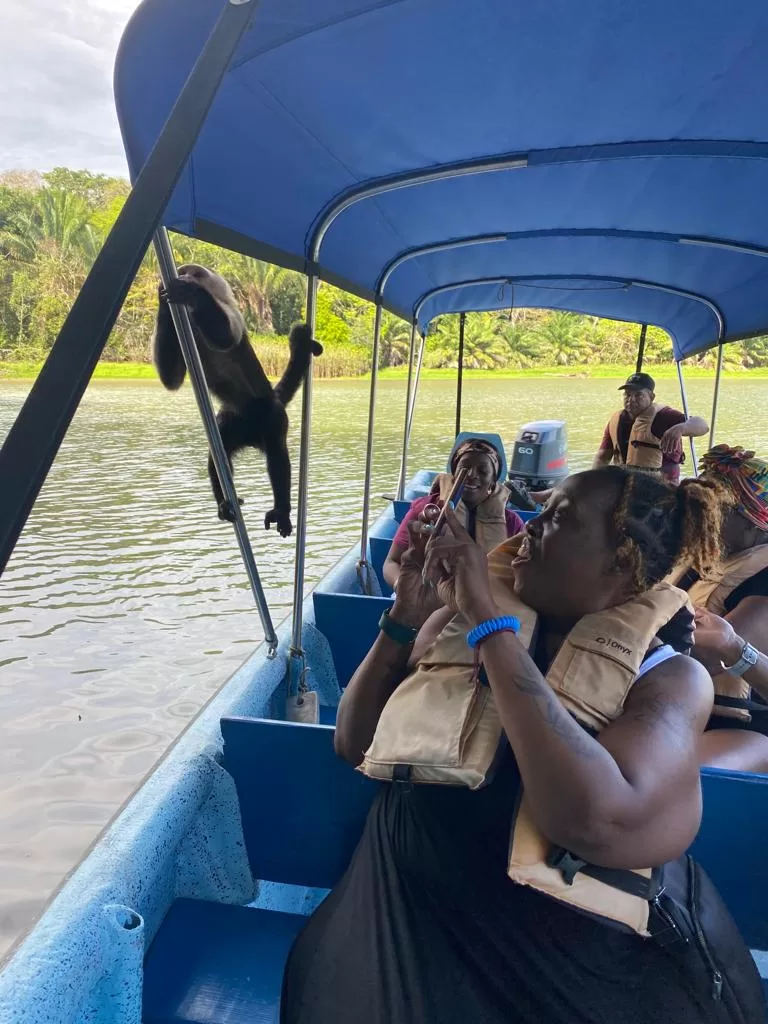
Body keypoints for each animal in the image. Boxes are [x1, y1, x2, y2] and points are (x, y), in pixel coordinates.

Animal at [152, 264, 322, 537]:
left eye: (192, 272)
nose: (184, 273)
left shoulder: (231, 310)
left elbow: (227, 337)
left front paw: (191, 291)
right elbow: (172, 379)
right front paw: (163, 299)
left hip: (272, 415)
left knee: (277, 455)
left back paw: (282, 511)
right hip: (232, 420)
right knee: (217, 451)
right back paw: (224, 503)